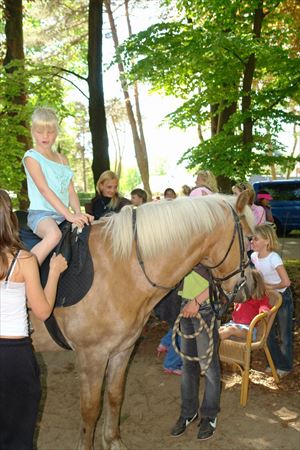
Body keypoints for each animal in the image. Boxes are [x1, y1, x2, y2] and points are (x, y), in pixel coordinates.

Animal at [29, 191, 260, 450]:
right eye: (250, 239)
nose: (250, 287)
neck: (119, 269)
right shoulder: (91, 356)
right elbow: (90, 411)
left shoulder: (122, 350)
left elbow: (114, 396)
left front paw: (113, 441)